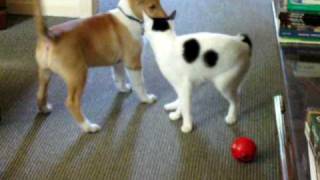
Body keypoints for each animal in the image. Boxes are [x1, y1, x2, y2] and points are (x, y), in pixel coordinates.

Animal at [33, 0, 168, 132]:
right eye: (152, 7)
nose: (167, 21)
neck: (128, 16)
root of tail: (50, 36)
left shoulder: (118, 62)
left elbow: (119, 77)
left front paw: (123, 89)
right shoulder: (133, 63)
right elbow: (139, 84)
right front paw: (146, 99)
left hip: (44, 73)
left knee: (40, 94)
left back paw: (44, 109)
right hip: (78, 75)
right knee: (72, 103)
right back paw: (88, 127)